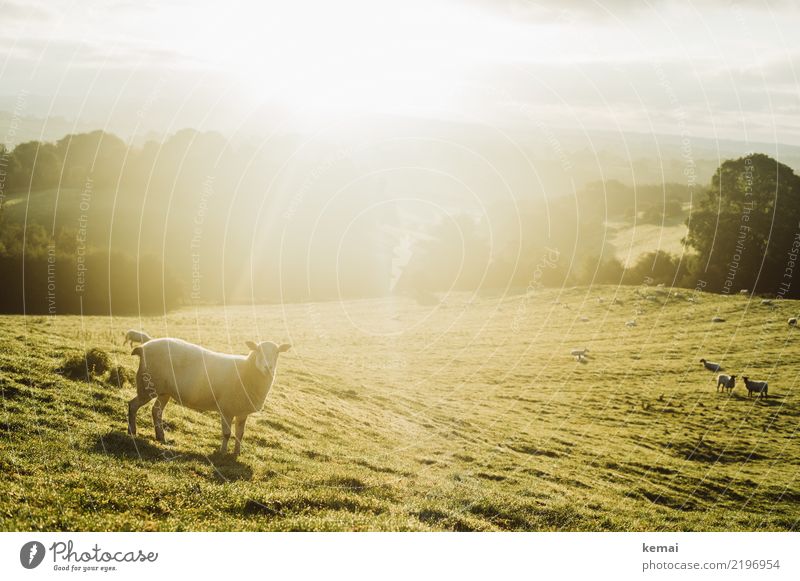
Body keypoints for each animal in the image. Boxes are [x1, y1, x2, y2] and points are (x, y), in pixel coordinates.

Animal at [125, 338, 288, 456]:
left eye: (277, 352)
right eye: (258, 350)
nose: (268, 367)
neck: (246, 371)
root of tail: (143, 347)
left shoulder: (242, 411)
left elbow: (240, 435)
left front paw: (237, 453)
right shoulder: (226, 408)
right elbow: (227, 434)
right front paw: (222, 453)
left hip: (164, 392)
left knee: (156, 411)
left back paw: (160, 437)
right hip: (147, 385)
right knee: (133, 405)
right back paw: (132, 431)